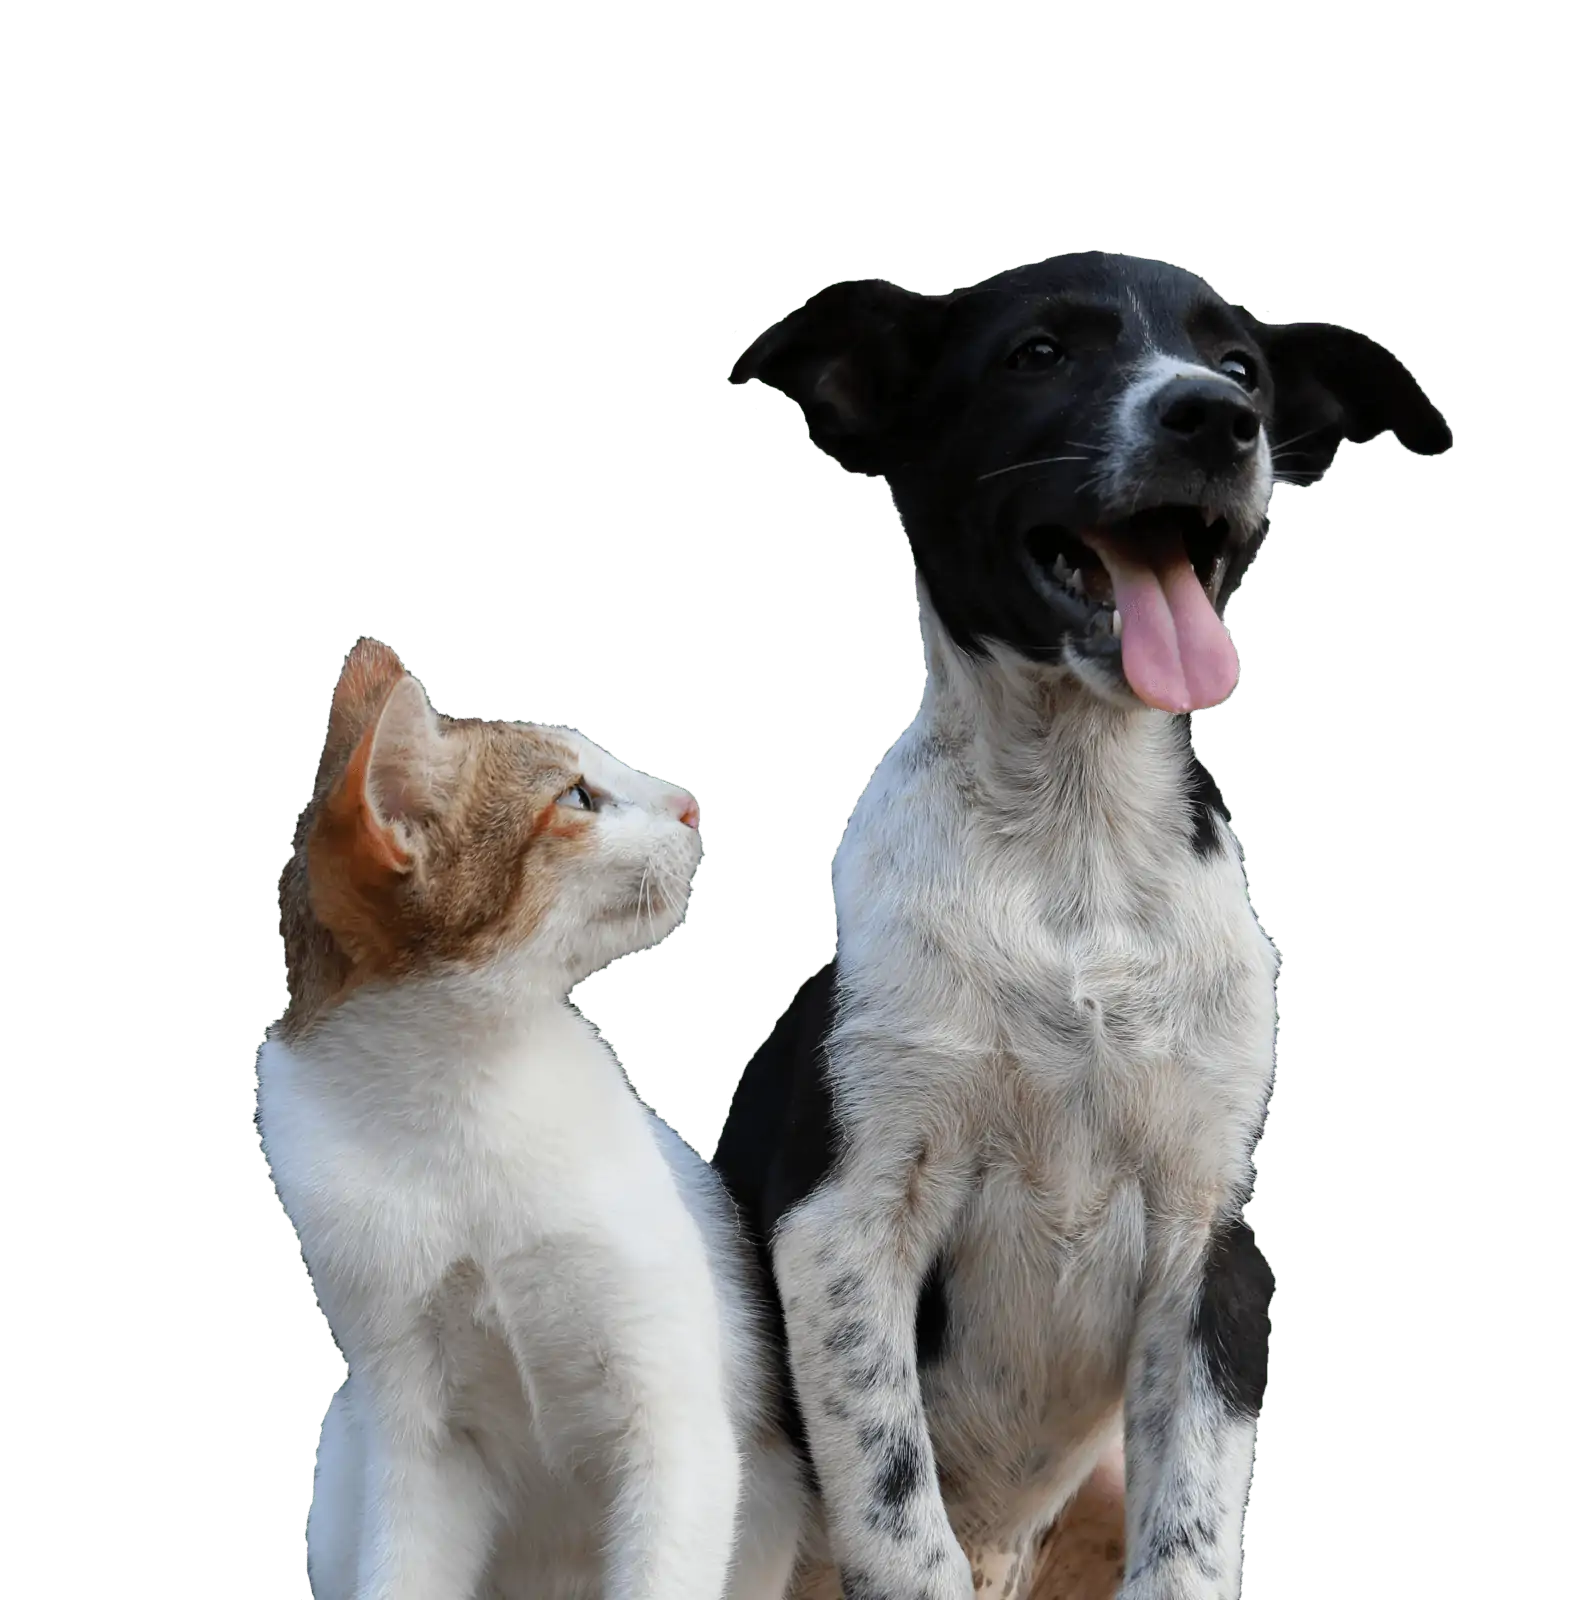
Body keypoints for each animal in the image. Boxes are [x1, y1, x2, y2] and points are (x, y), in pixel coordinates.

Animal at [260, 643, 816, 1600]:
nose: (689, 804)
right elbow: (403, 1573)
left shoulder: (677, 1427)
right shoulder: (418, 1437)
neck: (460, 1106)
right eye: (577, 798)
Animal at [716, 249, 1452, 1600]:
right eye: (1038, 354)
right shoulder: (843, 1229)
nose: (1214, 421)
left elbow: (1190, 1543)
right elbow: (899, 1523)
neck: (1076, 848)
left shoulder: (1210, 1252)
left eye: (1241, 367)